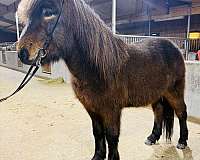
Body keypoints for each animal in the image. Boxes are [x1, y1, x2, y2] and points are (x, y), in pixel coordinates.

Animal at [16, 0, 188, 159]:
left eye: (49, 12)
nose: (22, 53)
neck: (97, 68)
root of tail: (174, 47)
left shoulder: (111, 110)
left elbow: (112, 136)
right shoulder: (91, 108)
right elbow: (98, 133)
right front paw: (98, 156)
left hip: (174, 92)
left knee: (181, 112)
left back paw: (182, 142)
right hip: (157, 94)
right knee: (158, 111)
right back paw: (152, 138)